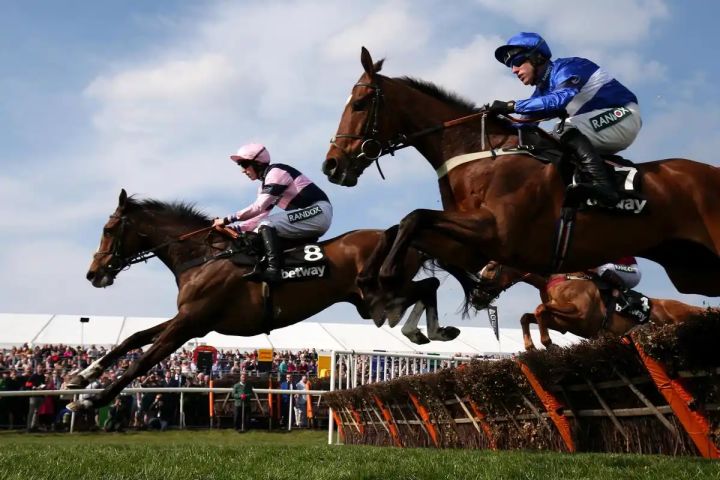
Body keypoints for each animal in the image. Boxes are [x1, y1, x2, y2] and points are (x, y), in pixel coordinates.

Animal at [67, 189, 459, 411]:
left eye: (108, 229)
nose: (93, 273)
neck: (204, 257)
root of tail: (400, 235)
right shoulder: (186, 317)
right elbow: (132, 339)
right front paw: (80, 377)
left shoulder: (191, 322)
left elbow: (142, 362)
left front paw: (92, 400)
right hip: (369, 298)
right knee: (427, 285)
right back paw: (425, 330)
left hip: (380, 289)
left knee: (429, 284)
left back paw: (426, 331)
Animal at [322, 47, 720, 299]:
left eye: (360, 104)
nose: (332, 165)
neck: (479, 153)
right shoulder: (473, 246)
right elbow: (402, 224)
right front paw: (368, 275)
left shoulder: (498, 231)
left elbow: (413, 216)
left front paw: (386, 275)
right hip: (694, 270)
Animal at [473, 260, 717, 350]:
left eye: (491, 267)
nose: (475, 297)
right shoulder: (562, 322)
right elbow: (528, 315)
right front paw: (531, 346)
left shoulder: (581, 315)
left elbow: (539, 310)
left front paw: (548, 343)